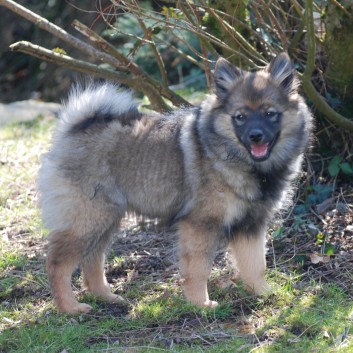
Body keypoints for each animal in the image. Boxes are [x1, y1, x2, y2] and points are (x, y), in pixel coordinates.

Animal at [40, 53, 312, 312]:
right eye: (240, 117)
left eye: (270, 114)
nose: (256, 136)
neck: (245, 162)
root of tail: (73, 129)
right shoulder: (200, 224)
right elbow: (199, 269)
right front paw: (200, 304)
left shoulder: (251, 225)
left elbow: (255, 264)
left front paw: (263, 293)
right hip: (87, 219)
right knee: (57, 263)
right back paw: (70, 308)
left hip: (105, 219)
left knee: (92, 260)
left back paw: (106, 296)